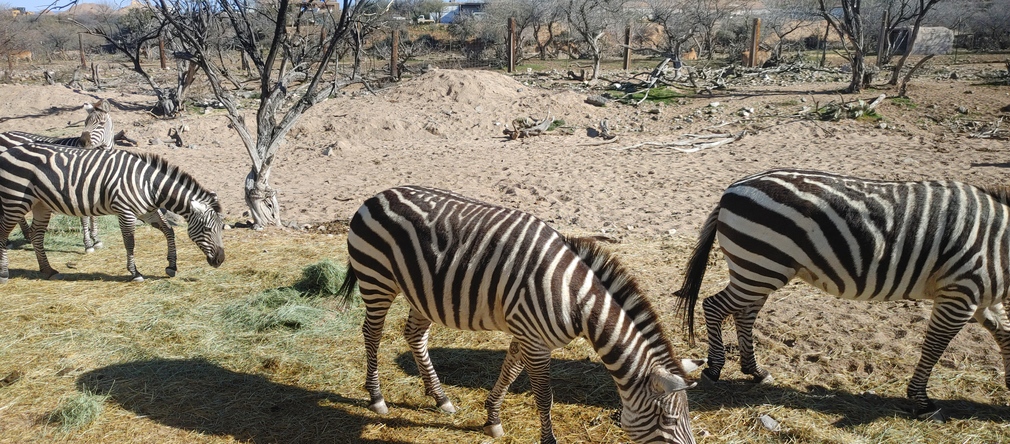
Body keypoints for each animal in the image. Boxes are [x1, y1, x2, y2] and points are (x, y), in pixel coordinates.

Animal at [0, 140, 225, 282]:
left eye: (221, 228)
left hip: (40, 204)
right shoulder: (125, 211)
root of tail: (6, 152)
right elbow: (130, 242)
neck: (149, 185)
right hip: (16, 199)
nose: (220, 260)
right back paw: (4, 274)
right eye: (207, 229)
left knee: (37, 235)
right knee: (4, 234)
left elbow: (169, 231)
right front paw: (135, 273)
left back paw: (47, 270)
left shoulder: (147, 211)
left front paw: (171, 266)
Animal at [4, 98, 115, 252]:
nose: (82, 142)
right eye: (85, 123)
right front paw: (88, 244)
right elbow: (85, 217)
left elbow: (93, 216)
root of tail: (3, 133)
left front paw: (96, 239)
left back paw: (26, 235)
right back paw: (10, 240)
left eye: (101, 123)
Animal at [336, 185, 699, 444]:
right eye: (668, 420)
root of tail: (376, 195)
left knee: (414, 335)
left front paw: (492, 420)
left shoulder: (528, 334)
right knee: (372, 333)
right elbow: (544, 397)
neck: (577, 300)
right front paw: (547, 440)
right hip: (377, 280)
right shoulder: (535, 340)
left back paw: (440, 398)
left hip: (422, 292)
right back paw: (377, 398)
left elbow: (509, 372)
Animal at [675, 168, 1010, 422]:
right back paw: (715, 369)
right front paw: (922, 402)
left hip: (758, 269)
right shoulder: (961, 292)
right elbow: (934, 347)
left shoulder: (985, 299)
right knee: (714, 305)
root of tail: (733, 188)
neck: (1000, 246)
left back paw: (755, 371)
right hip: (760, 266)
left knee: (743, 314)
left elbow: (1004, 335)